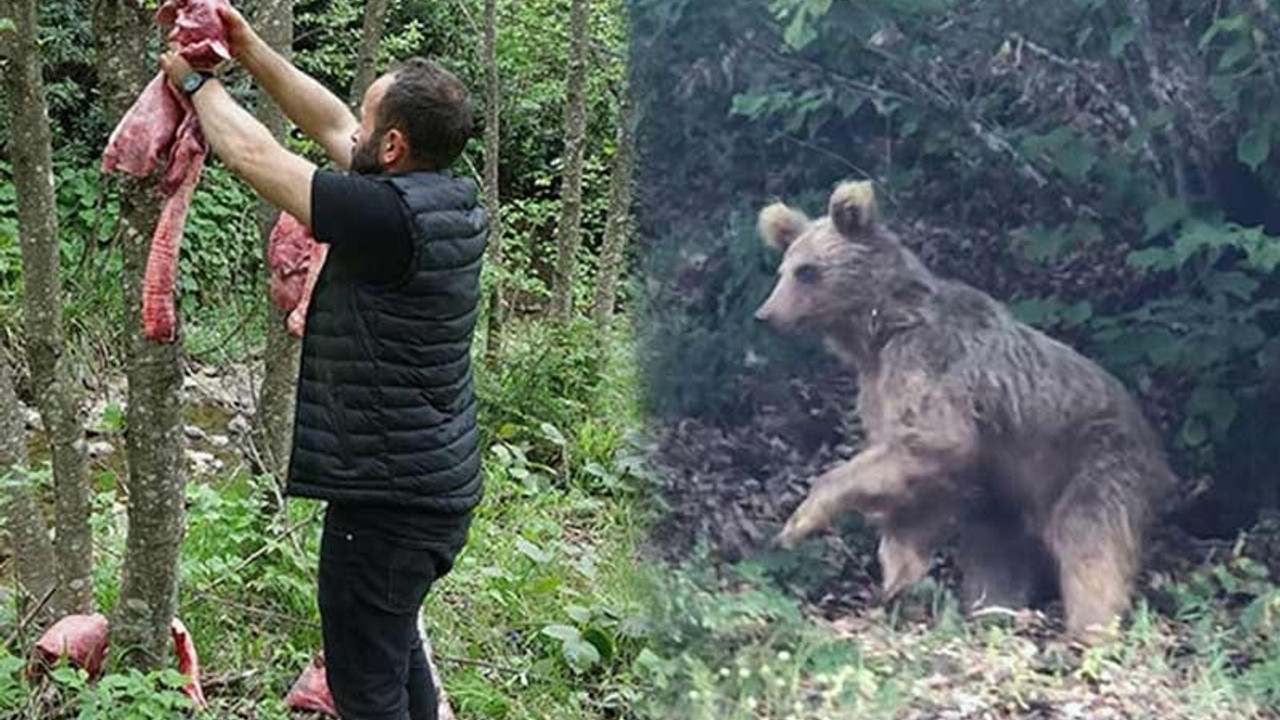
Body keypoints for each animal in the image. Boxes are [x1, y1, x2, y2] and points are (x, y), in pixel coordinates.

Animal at [752, 179, 1172, 632]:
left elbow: (935, 440)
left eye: (807, 271)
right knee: (998, 550)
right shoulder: (880, 390)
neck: (880, 331)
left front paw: (800, 521)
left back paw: (1087, 627)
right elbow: (911, 478)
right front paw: (899, 578)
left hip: (1095, 460)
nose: (765, 314)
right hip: (1009, 491)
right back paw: (992, 610)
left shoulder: (929, 366)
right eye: (783, 270)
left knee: (1090, 541)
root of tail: (1157, 448)